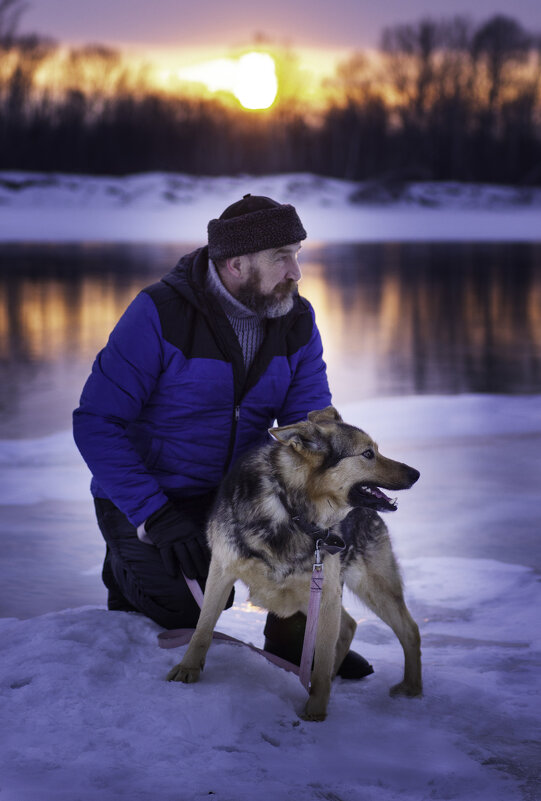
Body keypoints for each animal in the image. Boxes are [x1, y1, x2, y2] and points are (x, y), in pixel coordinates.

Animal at [166, 404, 422, 720]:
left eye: (375, 450)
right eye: (367, 454)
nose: (416, 473)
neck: (292, 510)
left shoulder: (325, 593)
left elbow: (322, 660)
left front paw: (315, 712)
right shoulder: (221, 571)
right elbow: (202, 629)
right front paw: (187, 669)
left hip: (367, 586)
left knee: (408, 630)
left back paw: (411, 688)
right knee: (349, 626)